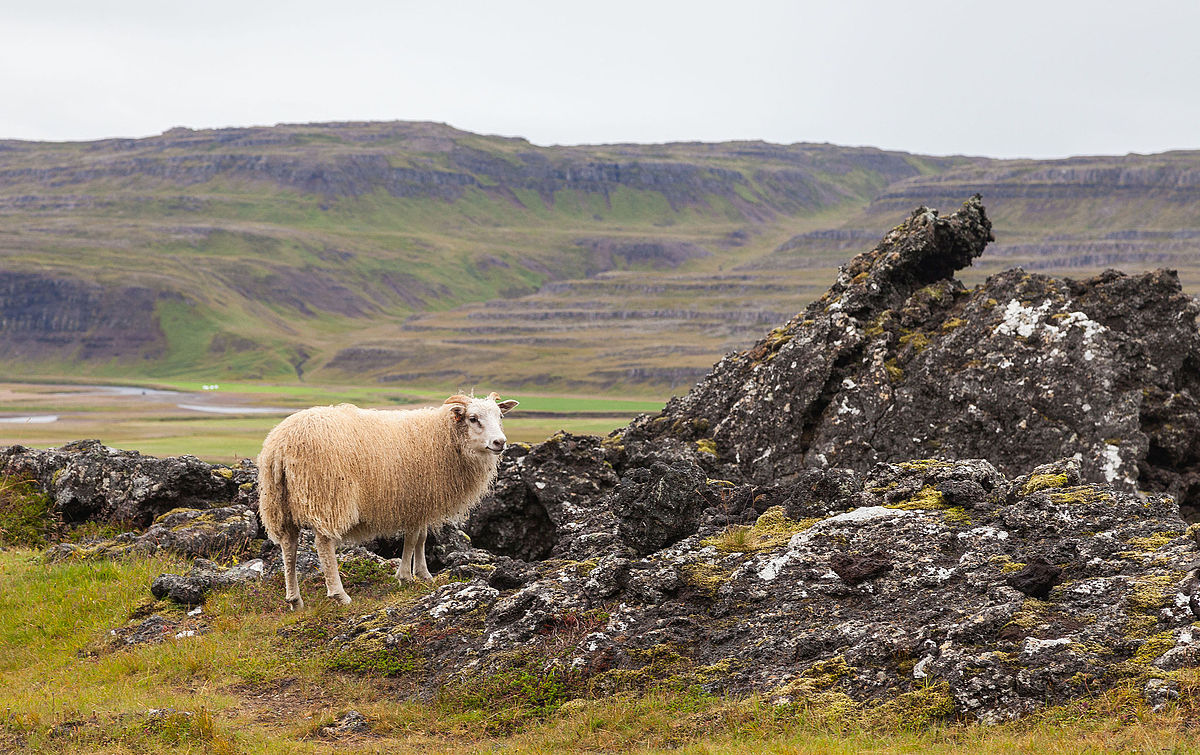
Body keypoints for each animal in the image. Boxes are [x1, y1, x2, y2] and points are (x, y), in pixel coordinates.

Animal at [253, 388, 516, 607]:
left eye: (500, 417)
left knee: (289, 546)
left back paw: (294, 600)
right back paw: (339, 595)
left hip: (278, 502)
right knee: (324, 544)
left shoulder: (420, 501)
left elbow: (421, 538)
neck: (443, 437)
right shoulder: (413, 498)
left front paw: (423, 574)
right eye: (473, 418)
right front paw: (405, 577)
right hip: (327, 496)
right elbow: (413, 538)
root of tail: (280, 446)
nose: (499, 442)